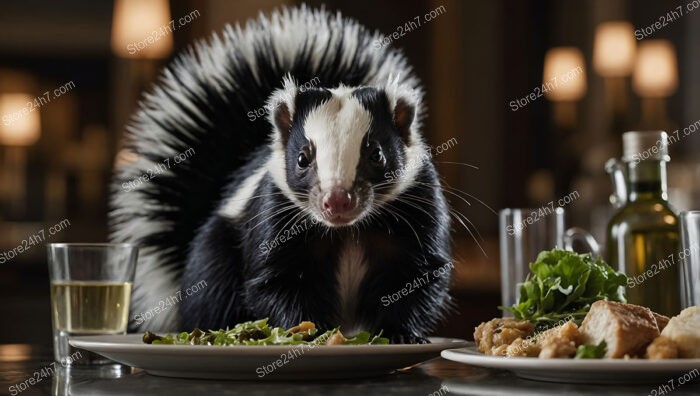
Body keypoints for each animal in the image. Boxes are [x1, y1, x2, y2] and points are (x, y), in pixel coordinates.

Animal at [107, 5, 452, 344]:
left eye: (376, 154)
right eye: (302, 159)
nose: (337, 201)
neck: (346, 232)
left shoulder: (416, 205)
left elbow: (419, 274)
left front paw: (401, 334)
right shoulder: (274, 213)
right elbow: (274, 281)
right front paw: (311, 331)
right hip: (217, 251)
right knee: (213, 290)